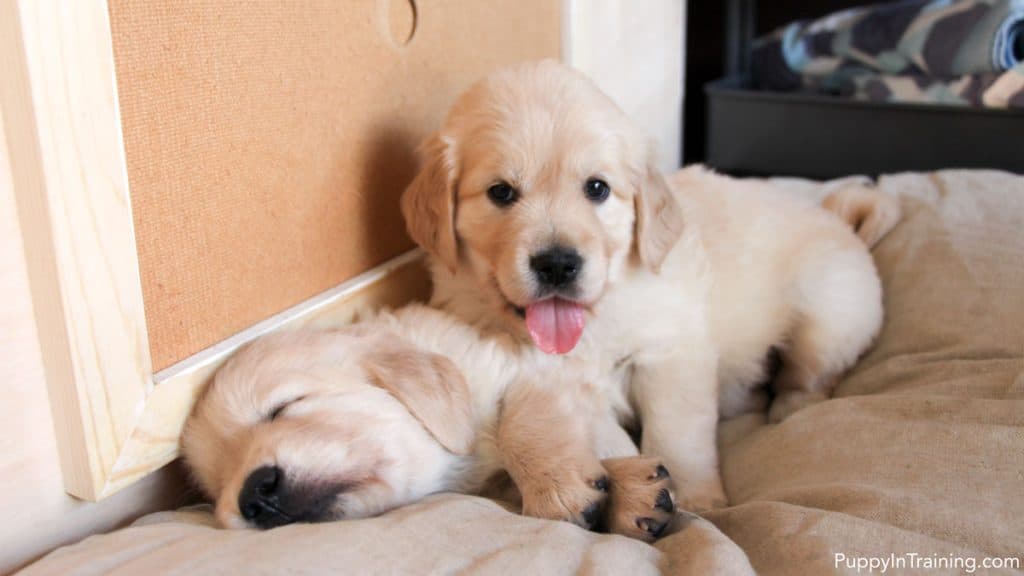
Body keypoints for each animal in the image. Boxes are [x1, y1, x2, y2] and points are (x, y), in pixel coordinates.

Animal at [184, 303, 679, 541]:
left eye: (283, 406)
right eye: (217, 487)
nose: (253, 496)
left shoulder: (527, 368)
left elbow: (525, 424)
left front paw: (559, 489)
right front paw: (628, 489)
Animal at [403, 58, 901, 508]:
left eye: (597, 188)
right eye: (501, 192)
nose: (558, 264)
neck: (594, 321)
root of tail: (841, 222)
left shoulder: (670, 354)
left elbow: (677, 434)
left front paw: (698, 500)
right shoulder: (553, 381)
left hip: (829, 314)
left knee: (812, 372)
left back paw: (791, 405)